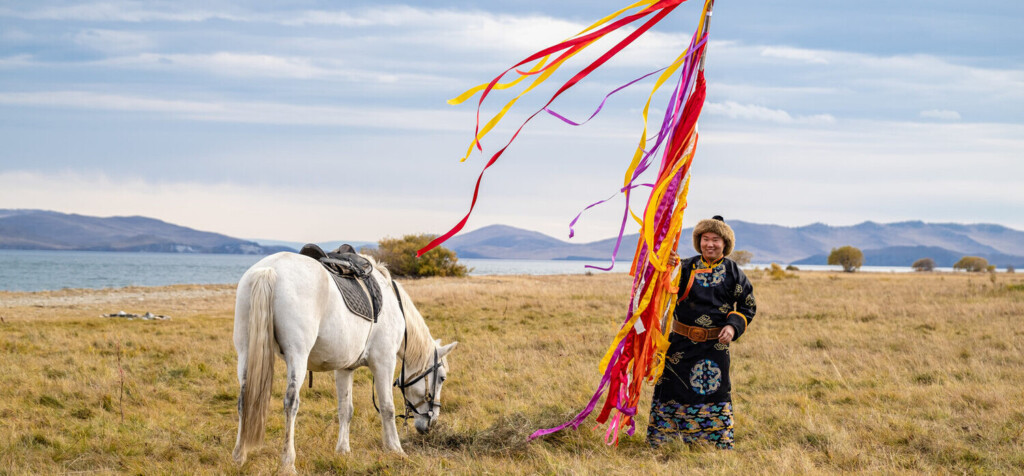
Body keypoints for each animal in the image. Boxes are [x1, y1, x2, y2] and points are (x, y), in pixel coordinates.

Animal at [234, 251, 458, 470]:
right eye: (442, 378)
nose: (431, 423)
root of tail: (270, 269)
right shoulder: (384, 361)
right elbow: (387, 407)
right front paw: (395, 449)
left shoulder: (344, 368)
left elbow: (346, 410)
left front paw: (343, 450)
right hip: (297, 356)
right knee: (291, 403)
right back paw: (288, 463)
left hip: (245, 352)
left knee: (244, 399)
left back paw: (239, 456)